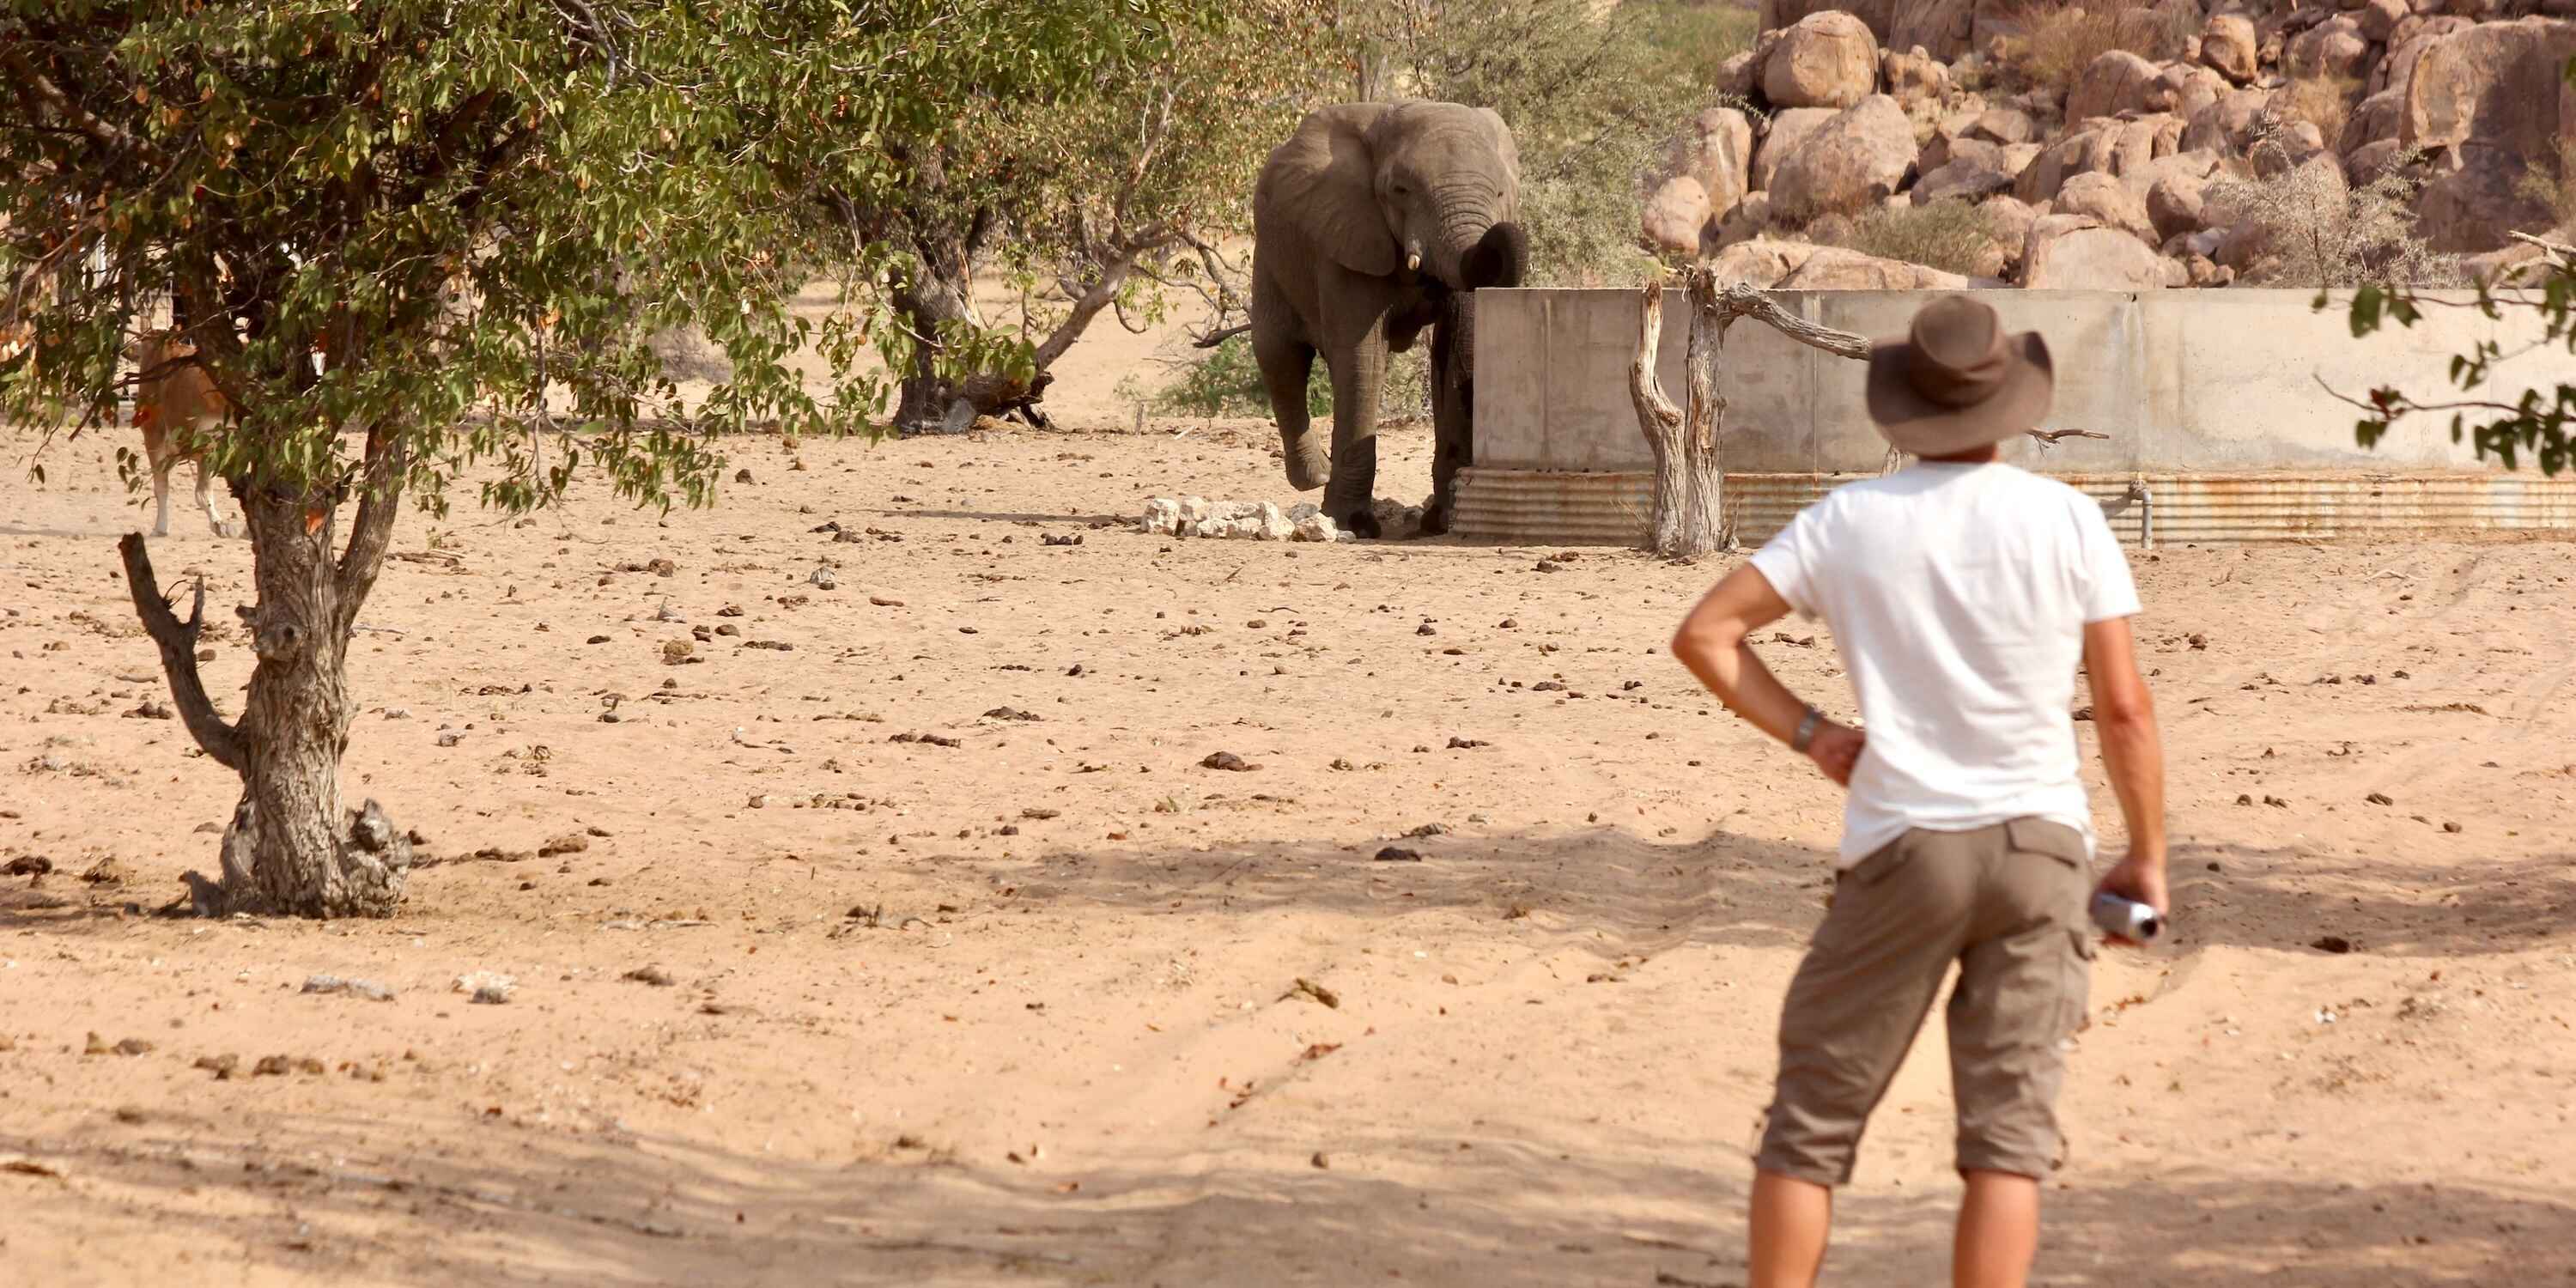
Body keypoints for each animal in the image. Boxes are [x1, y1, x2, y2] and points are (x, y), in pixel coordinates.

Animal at [1251, 100, 1528, 538]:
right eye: (1401, 191)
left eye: (1501, 193)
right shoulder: (1349, 236)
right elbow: (1363, 358)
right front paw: (1353, 524)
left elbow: (1455, 348)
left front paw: (1441, 521)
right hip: (1270, 253)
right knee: (1280, 355)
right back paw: (1315, 476)